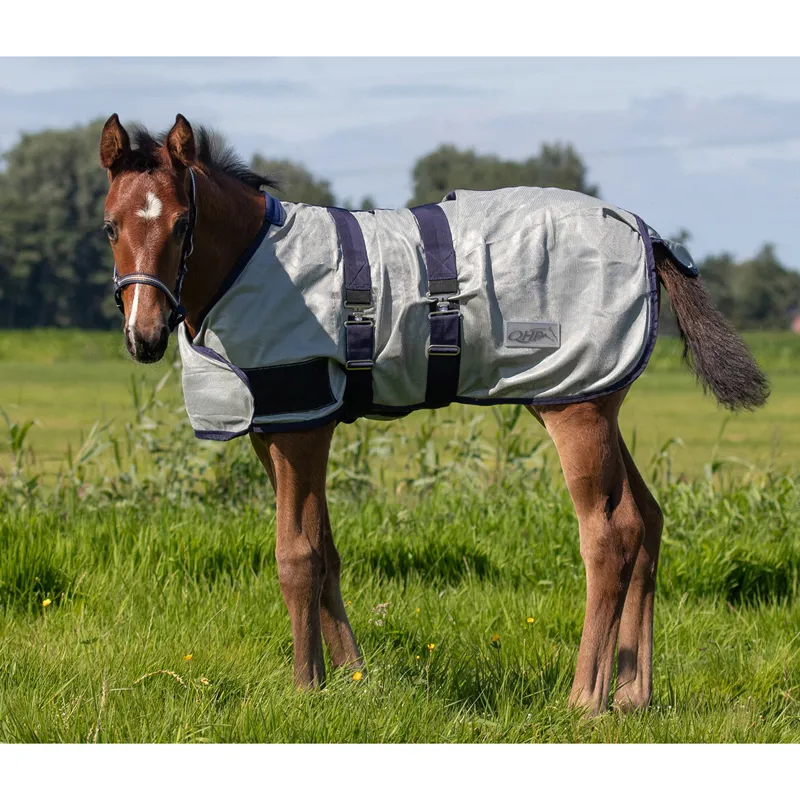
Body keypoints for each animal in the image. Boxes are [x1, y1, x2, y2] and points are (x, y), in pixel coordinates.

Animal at [99, 113, 769, 716]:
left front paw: (305, 687)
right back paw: (631, 695)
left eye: (182, 222)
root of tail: (645, 232)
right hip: (589, 396)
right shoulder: (275, 429)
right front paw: (352, 677)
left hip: (575, 410)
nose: (144, 336)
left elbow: (298, 557)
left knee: (610, 536)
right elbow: (325, 550)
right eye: (109, 227)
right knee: (647, 519)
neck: (254, 263)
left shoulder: (304, 429)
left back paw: (585, 699)